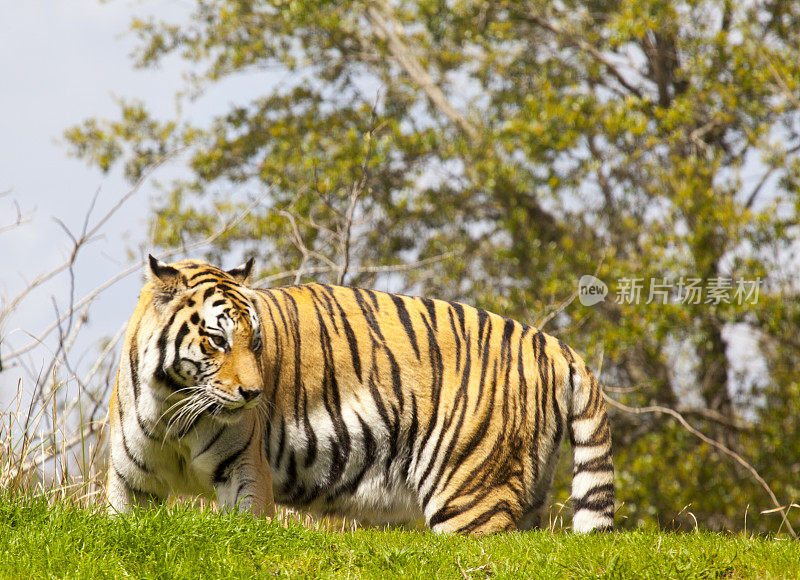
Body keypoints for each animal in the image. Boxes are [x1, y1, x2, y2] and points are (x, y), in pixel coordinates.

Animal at [106, 256, 616, 532]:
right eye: (217, 340)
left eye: (256, 344)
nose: (252, 393)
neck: (172, 404)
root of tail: (551, 343)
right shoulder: (132, 483)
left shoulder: (244, 471)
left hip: (472, 495)